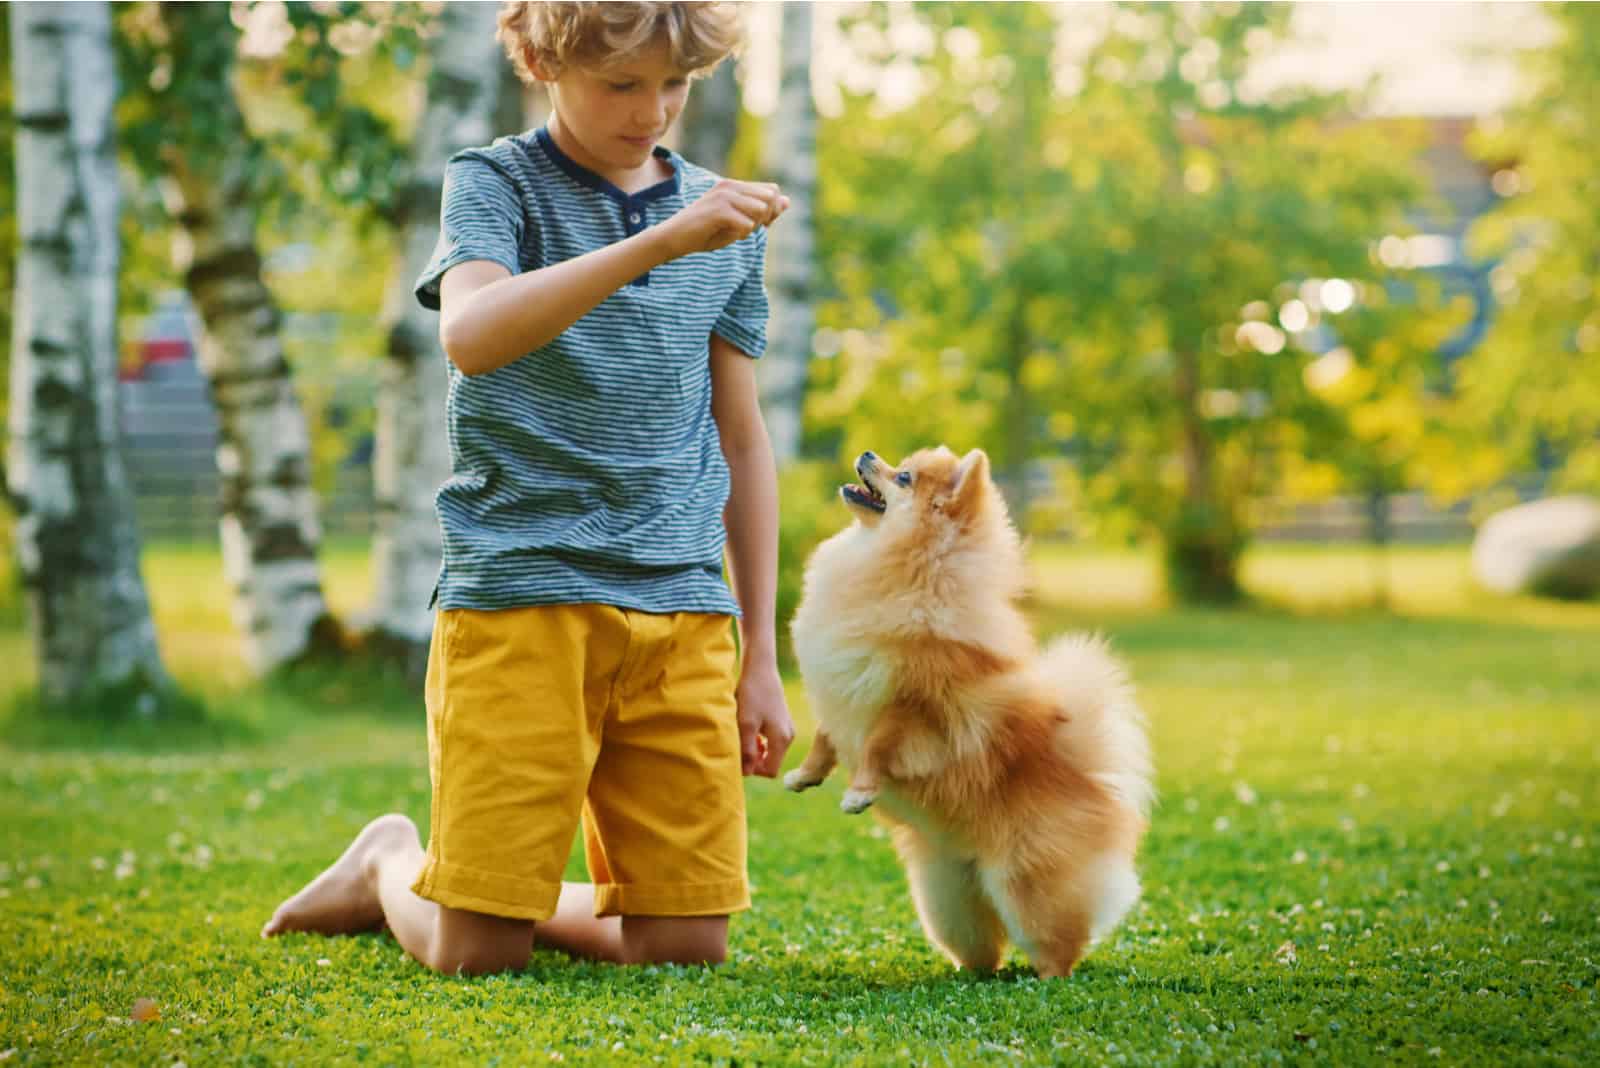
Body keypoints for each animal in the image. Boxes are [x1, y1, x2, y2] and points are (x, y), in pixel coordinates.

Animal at [784, 444, 1152, 978]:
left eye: (904, 477)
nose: (867, 452)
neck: (900, 569)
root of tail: (1089, 778)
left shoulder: (911, 707)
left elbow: (876, 747)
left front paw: (858, 793)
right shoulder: (840, 691)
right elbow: (824, 738)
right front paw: (802, 775)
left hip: (1025, 888)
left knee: (1057, 943)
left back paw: (1048, 978)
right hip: (947, 899)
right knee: (981, 946)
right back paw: (970, 973)